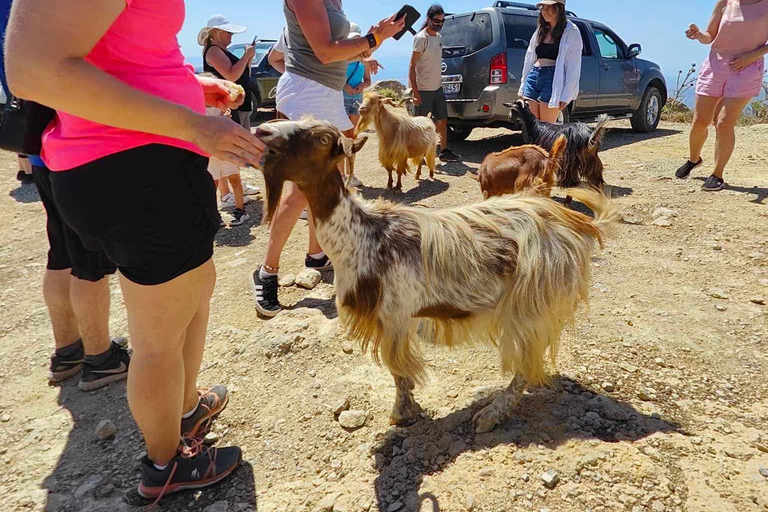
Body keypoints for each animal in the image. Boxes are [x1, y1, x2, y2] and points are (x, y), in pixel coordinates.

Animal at [255, 117, 620, 432]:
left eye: (322, 139)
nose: (262, 131)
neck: (363, 236)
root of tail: (579, 223)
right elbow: (399, 370)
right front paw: (407, 409)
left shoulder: (394, 317)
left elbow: (398, 370)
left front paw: (401, 413)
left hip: (532, 302)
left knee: (526, 363)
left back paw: (490, 415)